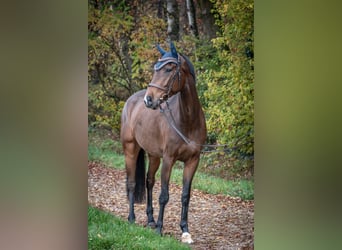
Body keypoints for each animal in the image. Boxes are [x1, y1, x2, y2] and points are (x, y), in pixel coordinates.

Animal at [120, 41, 206, 244]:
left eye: (168, 69)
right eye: (155, 68)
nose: (149, 99)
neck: (188, 121)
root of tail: (131, 100)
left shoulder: (193, 161)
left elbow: (185, 195)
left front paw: (185, 231)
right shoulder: (169, 160)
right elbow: (164, 195)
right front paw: (160, 229)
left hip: (153, 156)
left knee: (149, 182)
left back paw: (150, 220)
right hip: (130, 149)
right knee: (132, 183)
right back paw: (132, 218)